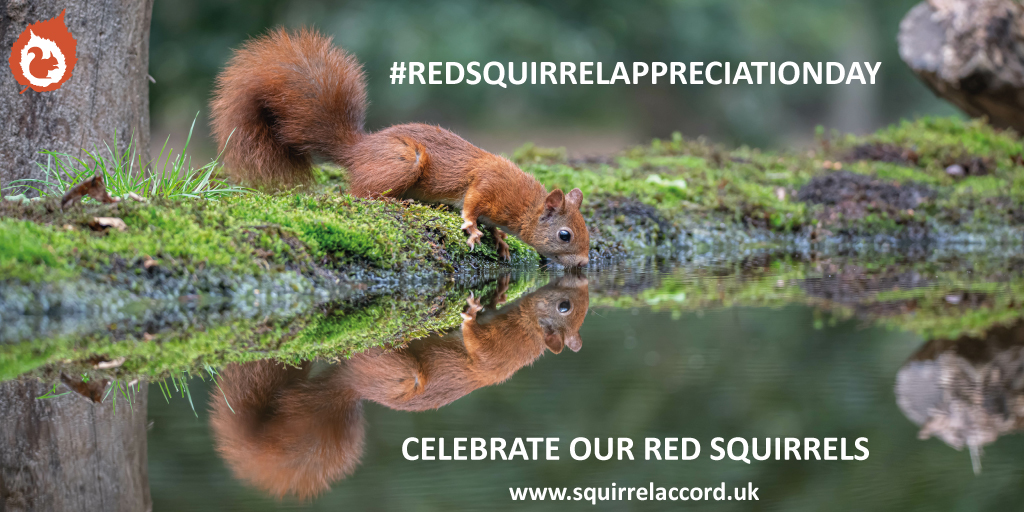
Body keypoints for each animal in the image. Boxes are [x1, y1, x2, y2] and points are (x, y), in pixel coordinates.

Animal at [209, 274, 589, 499]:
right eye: (565, 306)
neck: (526, 335)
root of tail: (349, 387)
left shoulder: (494, 353)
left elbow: (477, 345)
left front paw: (468, 315)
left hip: (398, 376)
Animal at [210, 29, 590, 267]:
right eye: (565, 235)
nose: (585, 263)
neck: (523, 204)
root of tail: (358, 151)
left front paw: (500, 240)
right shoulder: (487, 185)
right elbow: (472, 204)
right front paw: (472, 228)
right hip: (404, 161)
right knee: (361, 194)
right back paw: (398, 202)